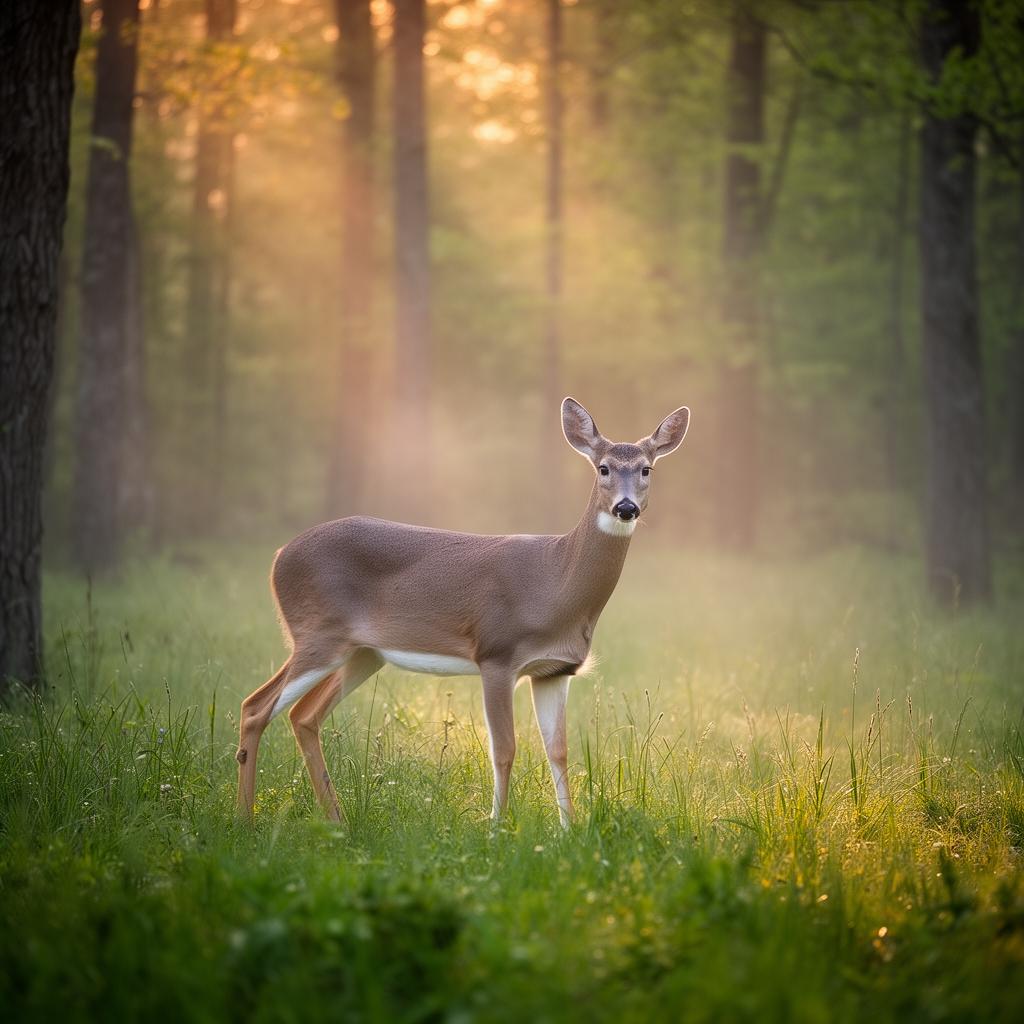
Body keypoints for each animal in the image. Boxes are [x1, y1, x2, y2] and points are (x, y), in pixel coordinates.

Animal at [236, 397, 690, 827]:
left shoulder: (555, 670)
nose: (626, 508)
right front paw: (496, 829)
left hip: (363, 652)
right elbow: (504, 750)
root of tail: (279, 556)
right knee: (256, 707)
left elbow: (558, 751)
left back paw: (335, 821)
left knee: (303, 716)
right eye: (603, 468)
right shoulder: (496, 653)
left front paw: (568, 832)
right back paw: (246, 820)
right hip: (317, 633)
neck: (554, 585)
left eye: (646, 469)